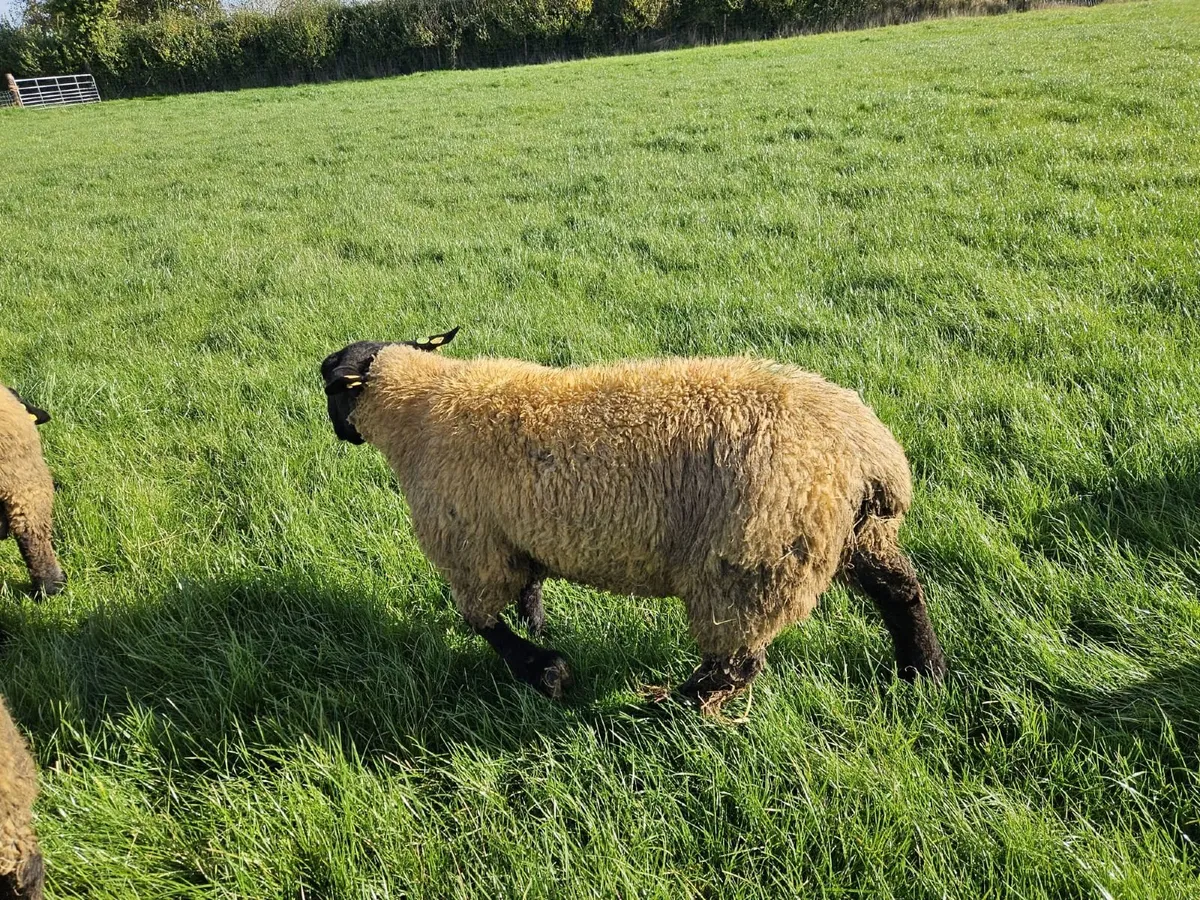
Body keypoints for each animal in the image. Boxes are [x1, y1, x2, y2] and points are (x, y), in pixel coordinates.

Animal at [321, 329, 947, 712]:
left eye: (329, 388)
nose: (339, 433)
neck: (420, 408)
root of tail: (872, 456)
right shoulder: (513, 536)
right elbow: (528, 590)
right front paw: (538, 629)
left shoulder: (472, 547)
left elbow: (483, 624)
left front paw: (545, 671)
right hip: (853, 538)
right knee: (902, 592)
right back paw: (924, 671)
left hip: (748, 565)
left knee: (734, 665)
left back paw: (664, 710)